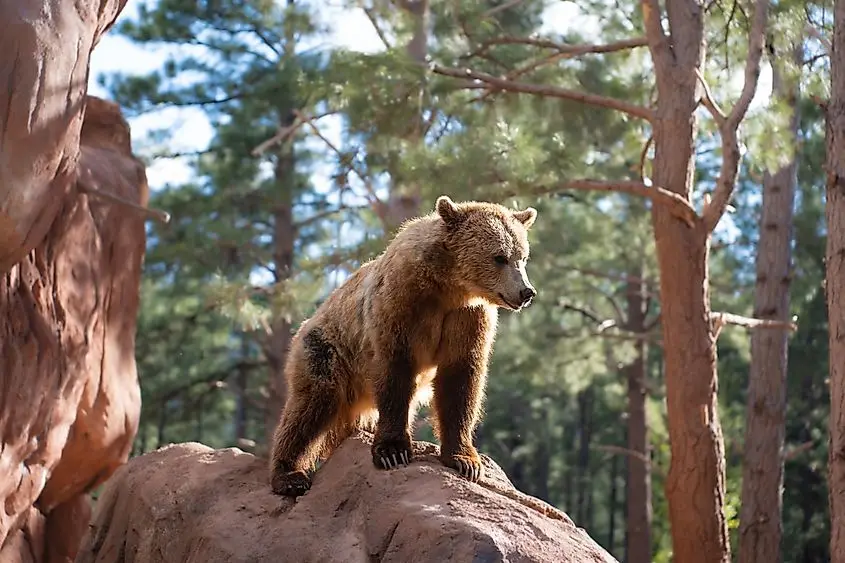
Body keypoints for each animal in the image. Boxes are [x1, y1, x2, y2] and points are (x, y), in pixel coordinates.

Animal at [268, 196, 536, 496]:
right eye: (499, 257)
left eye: (522, 256)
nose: (526, 292)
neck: (449, 286)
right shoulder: (401, 306)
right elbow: (395, 372)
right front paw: (392, 452)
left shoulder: (467, 318)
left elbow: (460, 381)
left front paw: (465, 460)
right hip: (327, 350)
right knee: (312, 404)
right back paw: (290, 475)